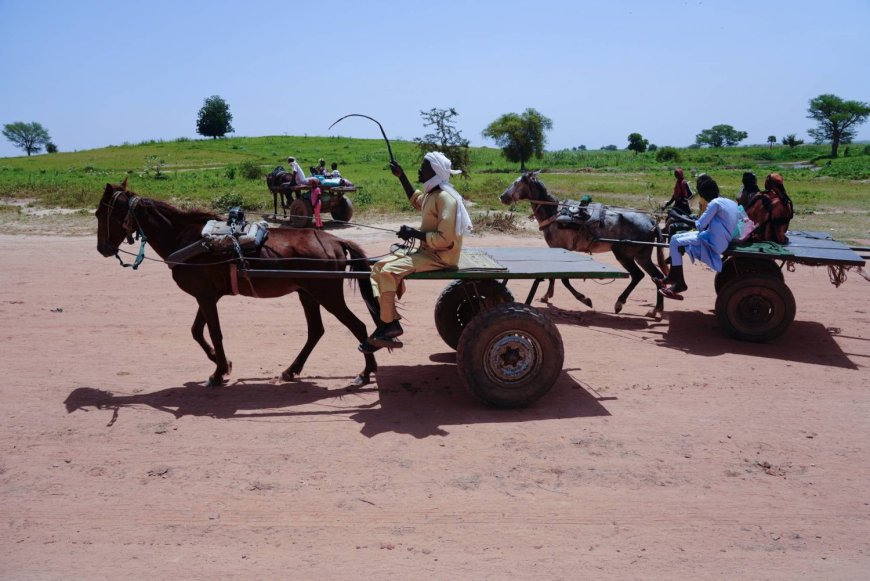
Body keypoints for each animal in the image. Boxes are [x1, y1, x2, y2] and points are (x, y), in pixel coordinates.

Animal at [96, 177, 382, 386]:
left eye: (100, 213)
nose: (102, 248)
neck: (188, 239)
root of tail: (335, 240)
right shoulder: (206, 295)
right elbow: (197, 331)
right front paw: (219, 362)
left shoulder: (206, 297)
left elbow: (214, 332)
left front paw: (218, 372)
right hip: (307, 293)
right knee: (316, 331)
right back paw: (292, 370)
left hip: (326, 294)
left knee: (357, 326)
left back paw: (366, 372)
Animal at [500, 171, 672, 318]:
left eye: (516, 183)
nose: (502, 196)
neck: (555, 213)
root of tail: (650, 221)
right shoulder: (556, 249)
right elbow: (552, 277)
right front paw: (546, 296)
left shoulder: (562, 249)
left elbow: (564, 279)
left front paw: (584, 299)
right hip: (642, 255)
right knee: (657, 277)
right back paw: (656, 310)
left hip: (624, 254)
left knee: (639, 275)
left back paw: (621, 303)